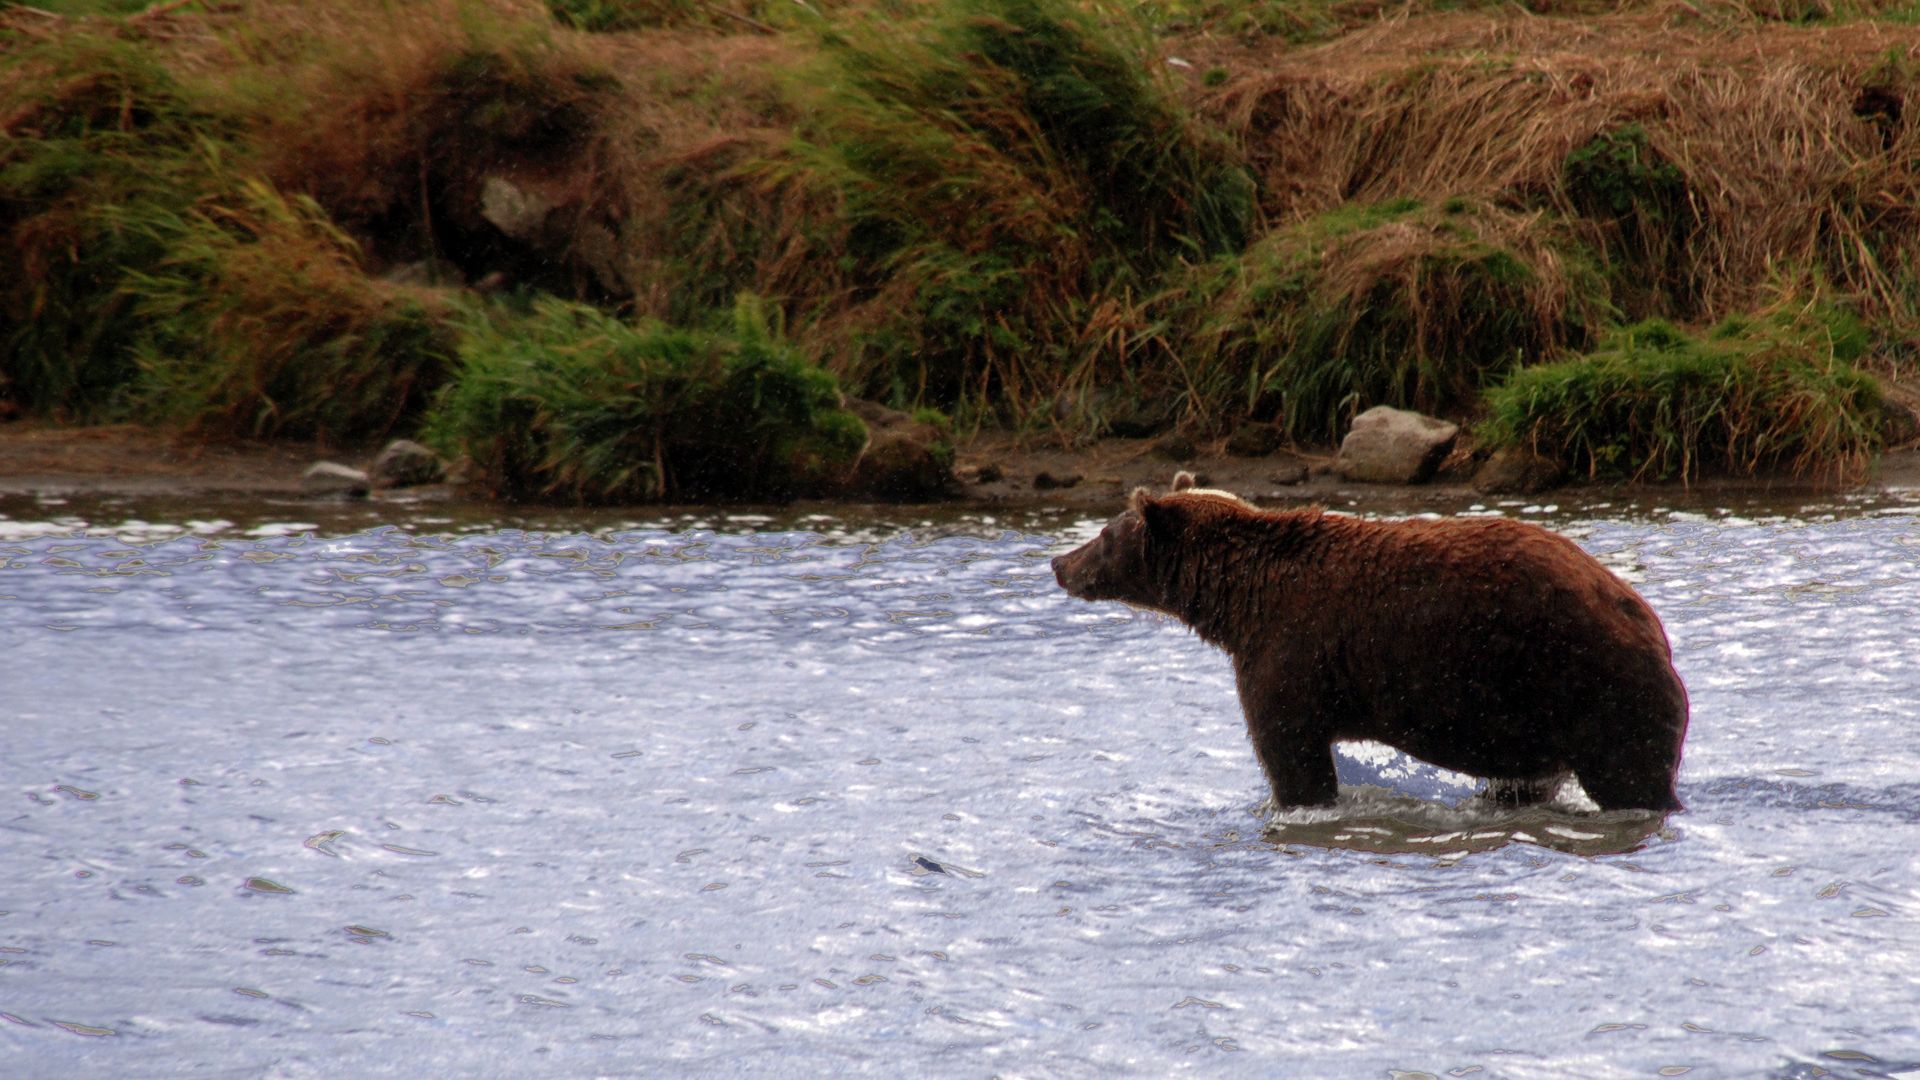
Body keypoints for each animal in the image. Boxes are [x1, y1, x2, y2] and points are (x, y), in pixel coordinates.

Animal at [1051, 474, 1688, 813]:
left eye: (1104, 534)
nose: (1059, 563)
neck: (1239, 599)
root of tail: (1647, 620)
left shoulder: (1288, 652)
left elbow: (1291, 756)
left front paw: (1292, 804)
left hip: (1589, 685)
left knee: (1631, 775)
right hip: (1536, 714)